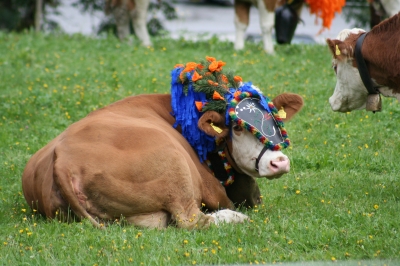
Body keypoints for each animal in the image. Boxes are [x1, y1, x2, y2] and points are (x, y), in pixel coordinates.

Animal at [22, 56, 304, 229]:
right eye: (237, 126)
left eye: (276, 121)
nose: (279, 162)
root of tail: (62, 159)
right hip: (174, 167)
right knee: (192, 220)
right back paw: (235, 217)